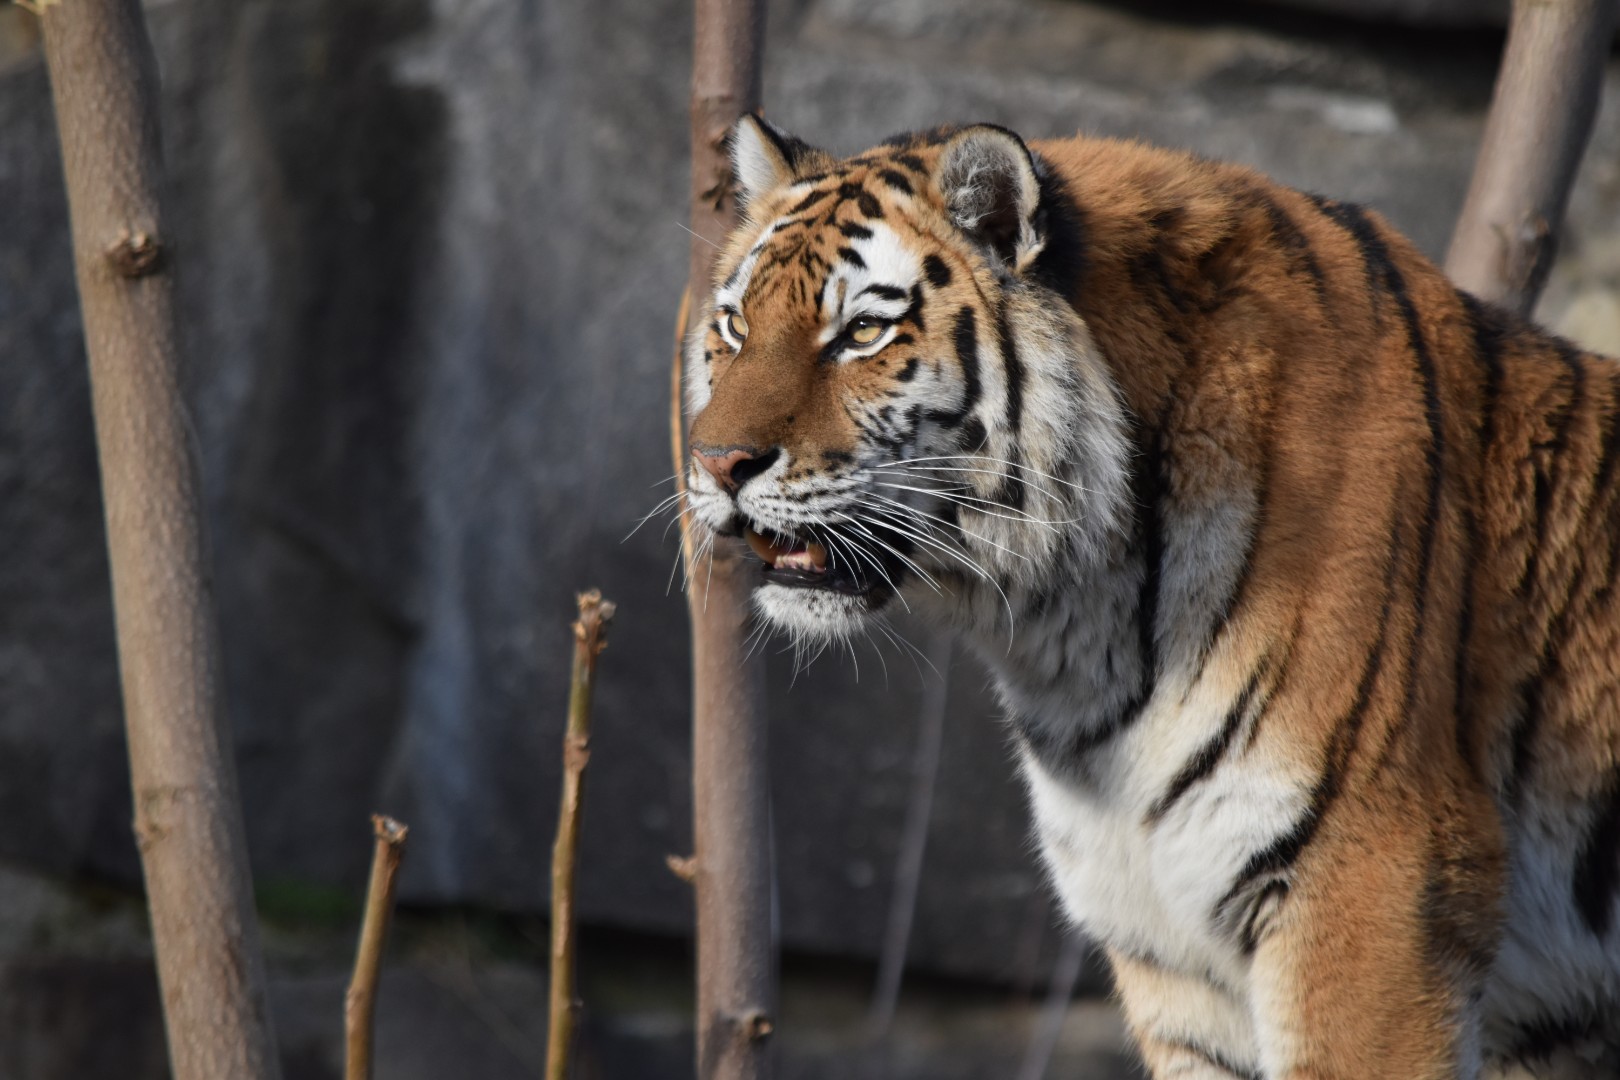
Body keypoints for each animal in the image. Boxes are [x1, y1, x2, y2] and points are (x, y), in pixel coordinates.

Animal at [679, 113, 1620, 1079]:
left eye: (863, 331)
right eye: (734, 325)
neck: (1078, 623)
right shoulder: (1172, 948)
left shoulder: (1374, 897)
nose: (714, 462)